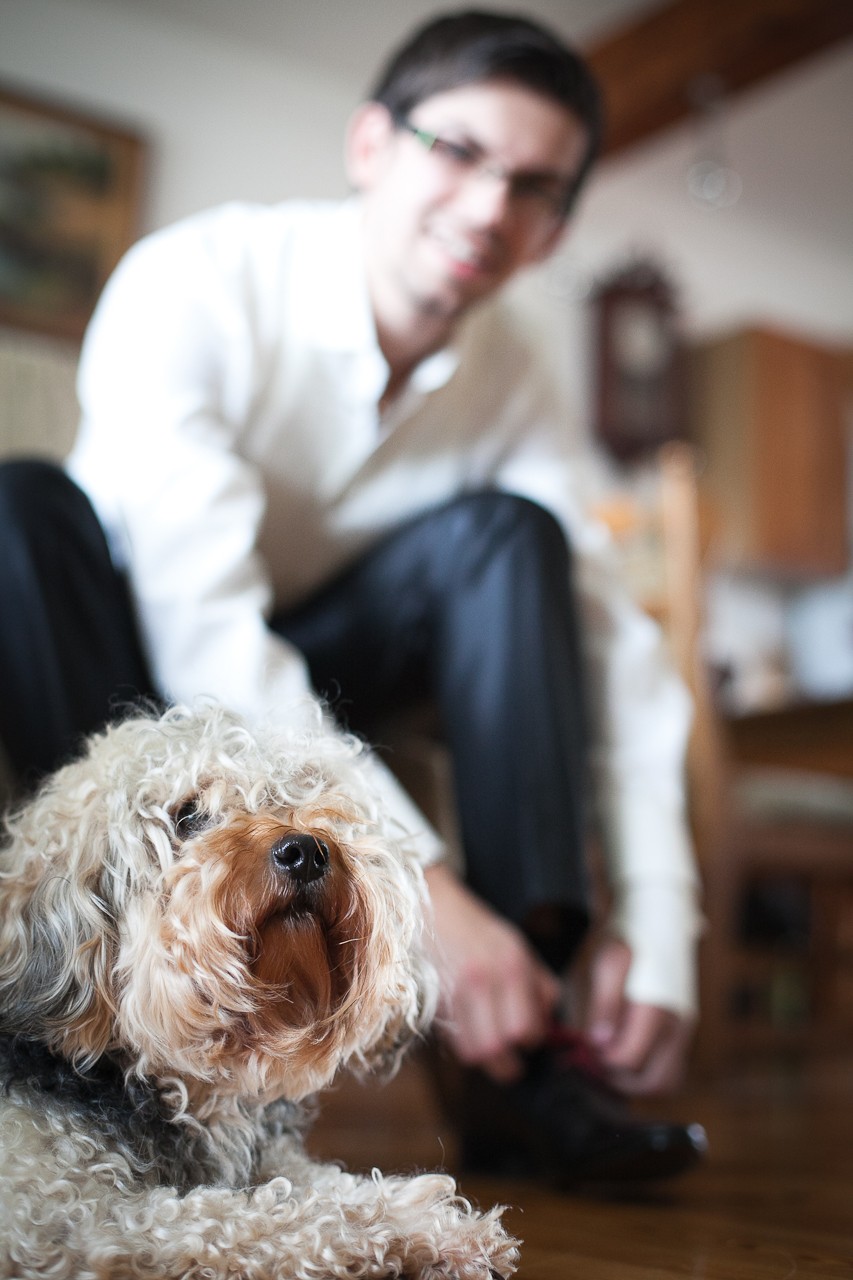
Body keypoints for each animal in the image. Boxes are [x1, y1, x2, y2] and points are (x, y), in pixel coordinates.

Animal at [0, 706, 517, 1274]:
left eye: (303, 794)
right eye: (187, 815)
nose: (305, 851)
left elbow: (325, 1182)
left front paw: (444, 1220)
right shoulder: (78, 1219)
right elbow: (272, 1217)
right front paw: (412, 1222)